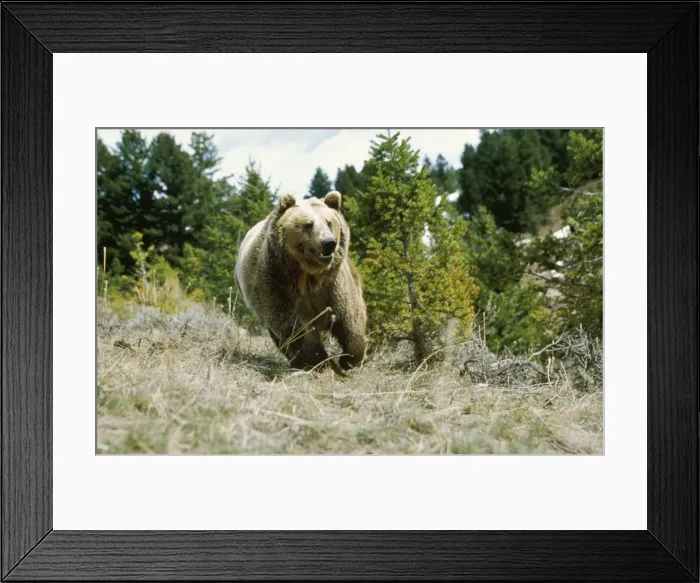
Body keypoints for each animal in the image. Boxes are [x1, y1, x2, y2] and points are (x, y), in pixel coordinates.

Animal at [235, 190, 368, 374]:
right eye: (308, 224)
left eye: (329, 222)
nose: (329, 243)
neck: (309, 275)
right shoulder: (277, 285)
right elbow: (297, 330)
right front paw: (321, 363)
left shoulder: (333, 284)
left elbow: (349, 317)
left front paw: (349, 359)